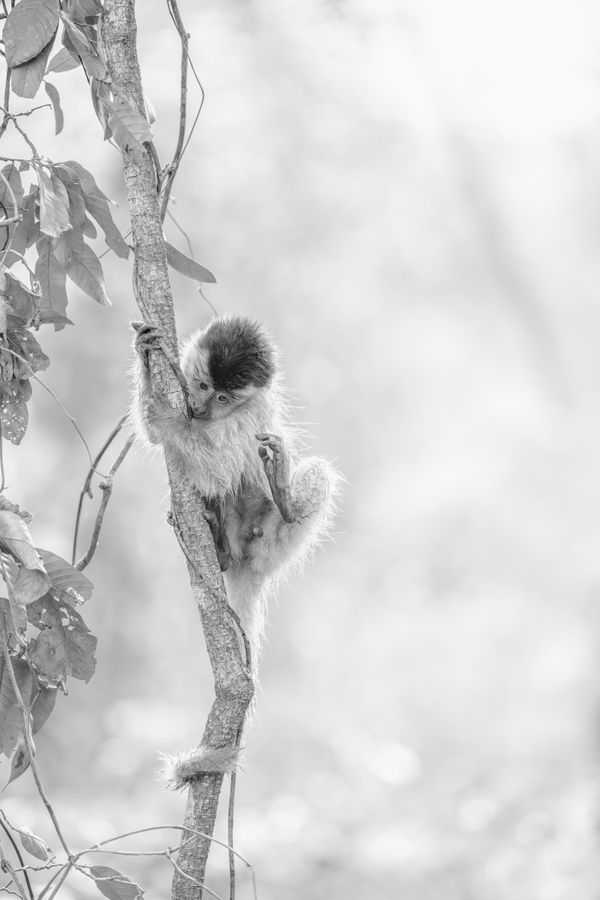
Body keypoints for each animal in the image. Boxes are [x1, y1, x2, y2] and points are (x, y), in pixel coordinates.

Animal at [133, 316, 338, 660]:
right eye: (203, 386)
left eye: (223, 399)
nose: (200, 406)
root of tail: (251, 568)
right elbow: (156, 437)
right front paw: (144, 354)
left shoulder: (254, 409)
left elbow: (216, 472)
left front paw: (170, 422)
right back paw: (220, 548)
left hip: (274, 547)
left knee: (312, 474)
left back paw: (284, 498)